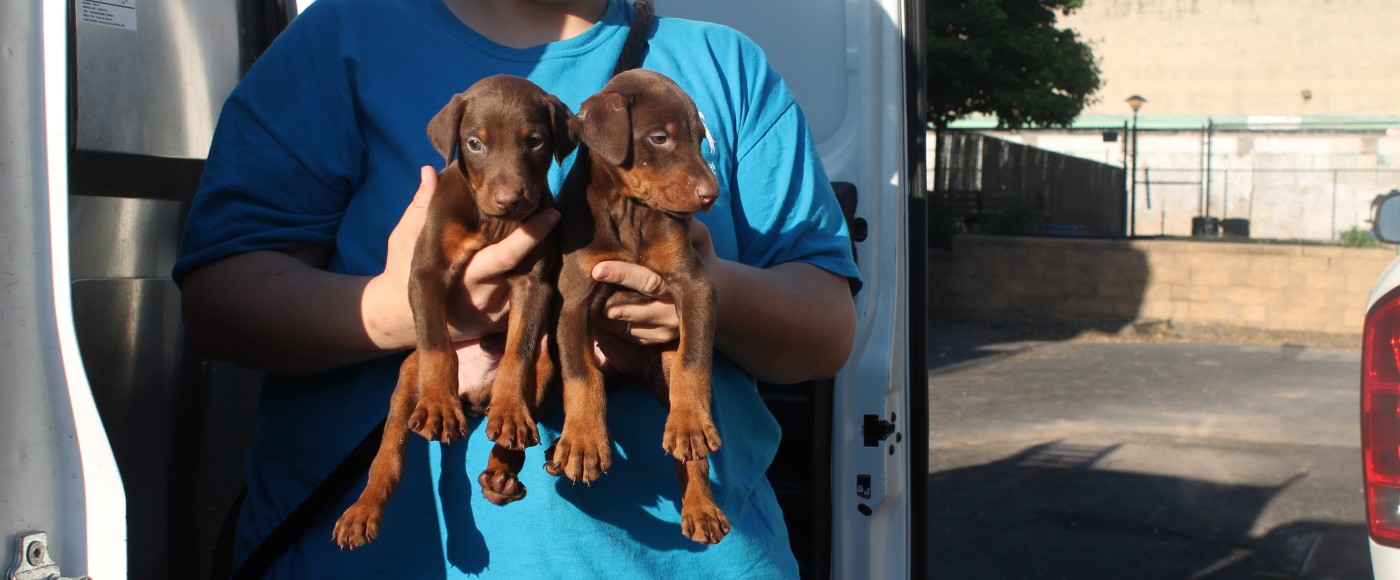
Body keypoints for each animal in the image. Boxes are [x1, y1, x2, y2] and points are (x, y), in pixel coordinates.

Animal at [330, 74, 571, 549]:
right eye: (475, 143)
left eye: (534, 141)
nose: (509, 199)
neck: (493, 224)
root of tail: (475, 396)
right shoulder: (426, 271)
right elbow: (437, 342)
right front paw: (440, 405)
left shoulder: (534, 284)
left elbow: (518, 351)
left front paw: (510, 411)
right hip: (407, 381)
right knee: (389, 455)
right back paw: (363, 510)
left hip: (545, 369)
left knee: (518, 423)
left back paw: (501, 470)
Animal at [540, 67, 728, 543]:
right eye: (659, 138)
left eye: (700, 139)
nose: (711, 195)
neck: (630, 213)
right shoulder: (572, 301)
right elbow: (582, 377)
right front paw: (585, 442)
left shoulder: (695, 285)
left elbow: (693, 363)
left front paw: (690, 422)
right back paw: (553, 452)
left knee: (688, 446)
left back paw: (701, 504)